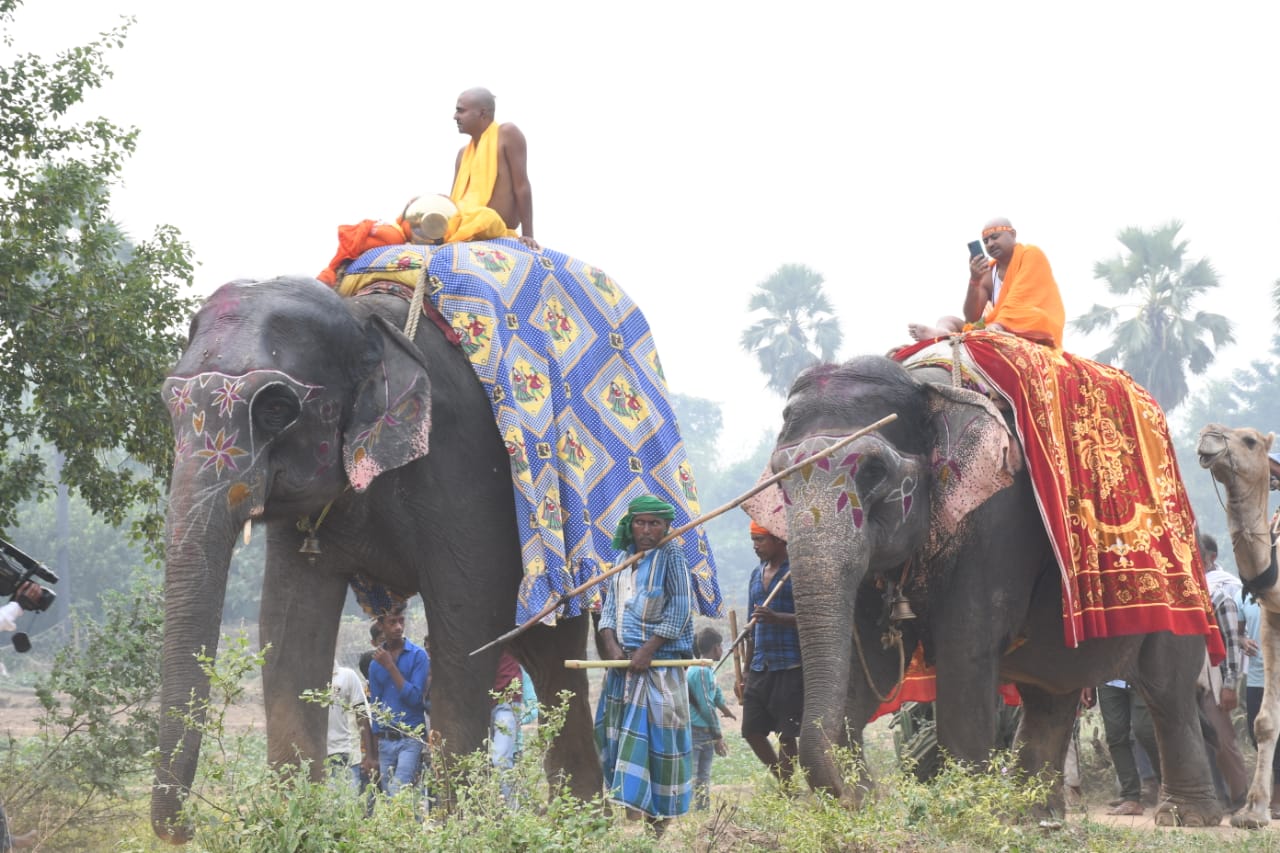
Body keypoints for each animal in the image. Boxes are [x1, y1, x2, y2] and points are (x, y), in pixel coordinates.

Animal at [152, 277, 601, 835]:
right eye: (168, 403)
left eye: (275, 408)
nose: (189, 827)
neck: (361, 318)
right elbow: (286, 627)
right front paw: (291, 822)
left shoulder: (465, 466)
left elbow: (466, 623)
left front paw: (452, 832)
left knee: (558, 662)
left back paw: (584, 826)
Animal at [773, 353, 1223, 824]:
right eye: (779, 478)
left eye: (874, 471)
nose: (868, 794)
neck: (924, 390)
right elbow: (869, 665)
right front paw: (858, 803)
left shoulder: (998, 520)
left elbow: (965, 650)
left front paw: (965, 811)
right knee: (1051, 694)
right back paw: (1035, 816)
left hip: (1182, 577)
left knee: (1167, 688)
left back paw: (1186, 817)